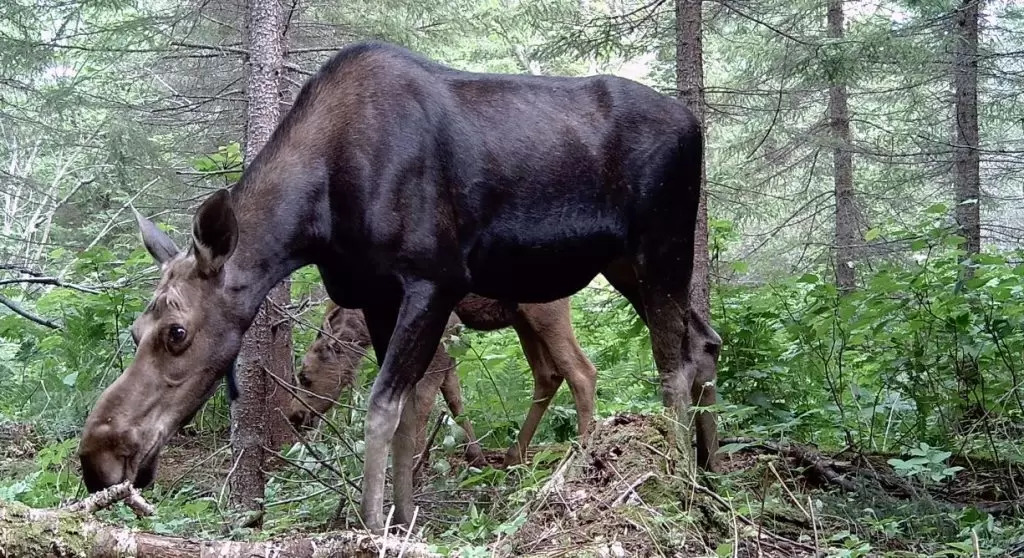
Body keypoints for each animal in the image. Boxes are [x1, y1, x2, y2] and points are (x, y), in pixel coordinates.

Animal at [286, 292, 598, 466]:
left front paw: (415, 465)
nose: (295, 415)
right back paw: (513, 456)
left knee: (581, 371)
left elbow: (424, 400)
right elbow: (454, 397)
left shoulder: (446, 326)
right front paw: (476, 456)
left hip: (543, 308)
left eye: (304, 376)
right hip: (520, 315)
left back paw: (580, 451)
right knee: (548, 375)